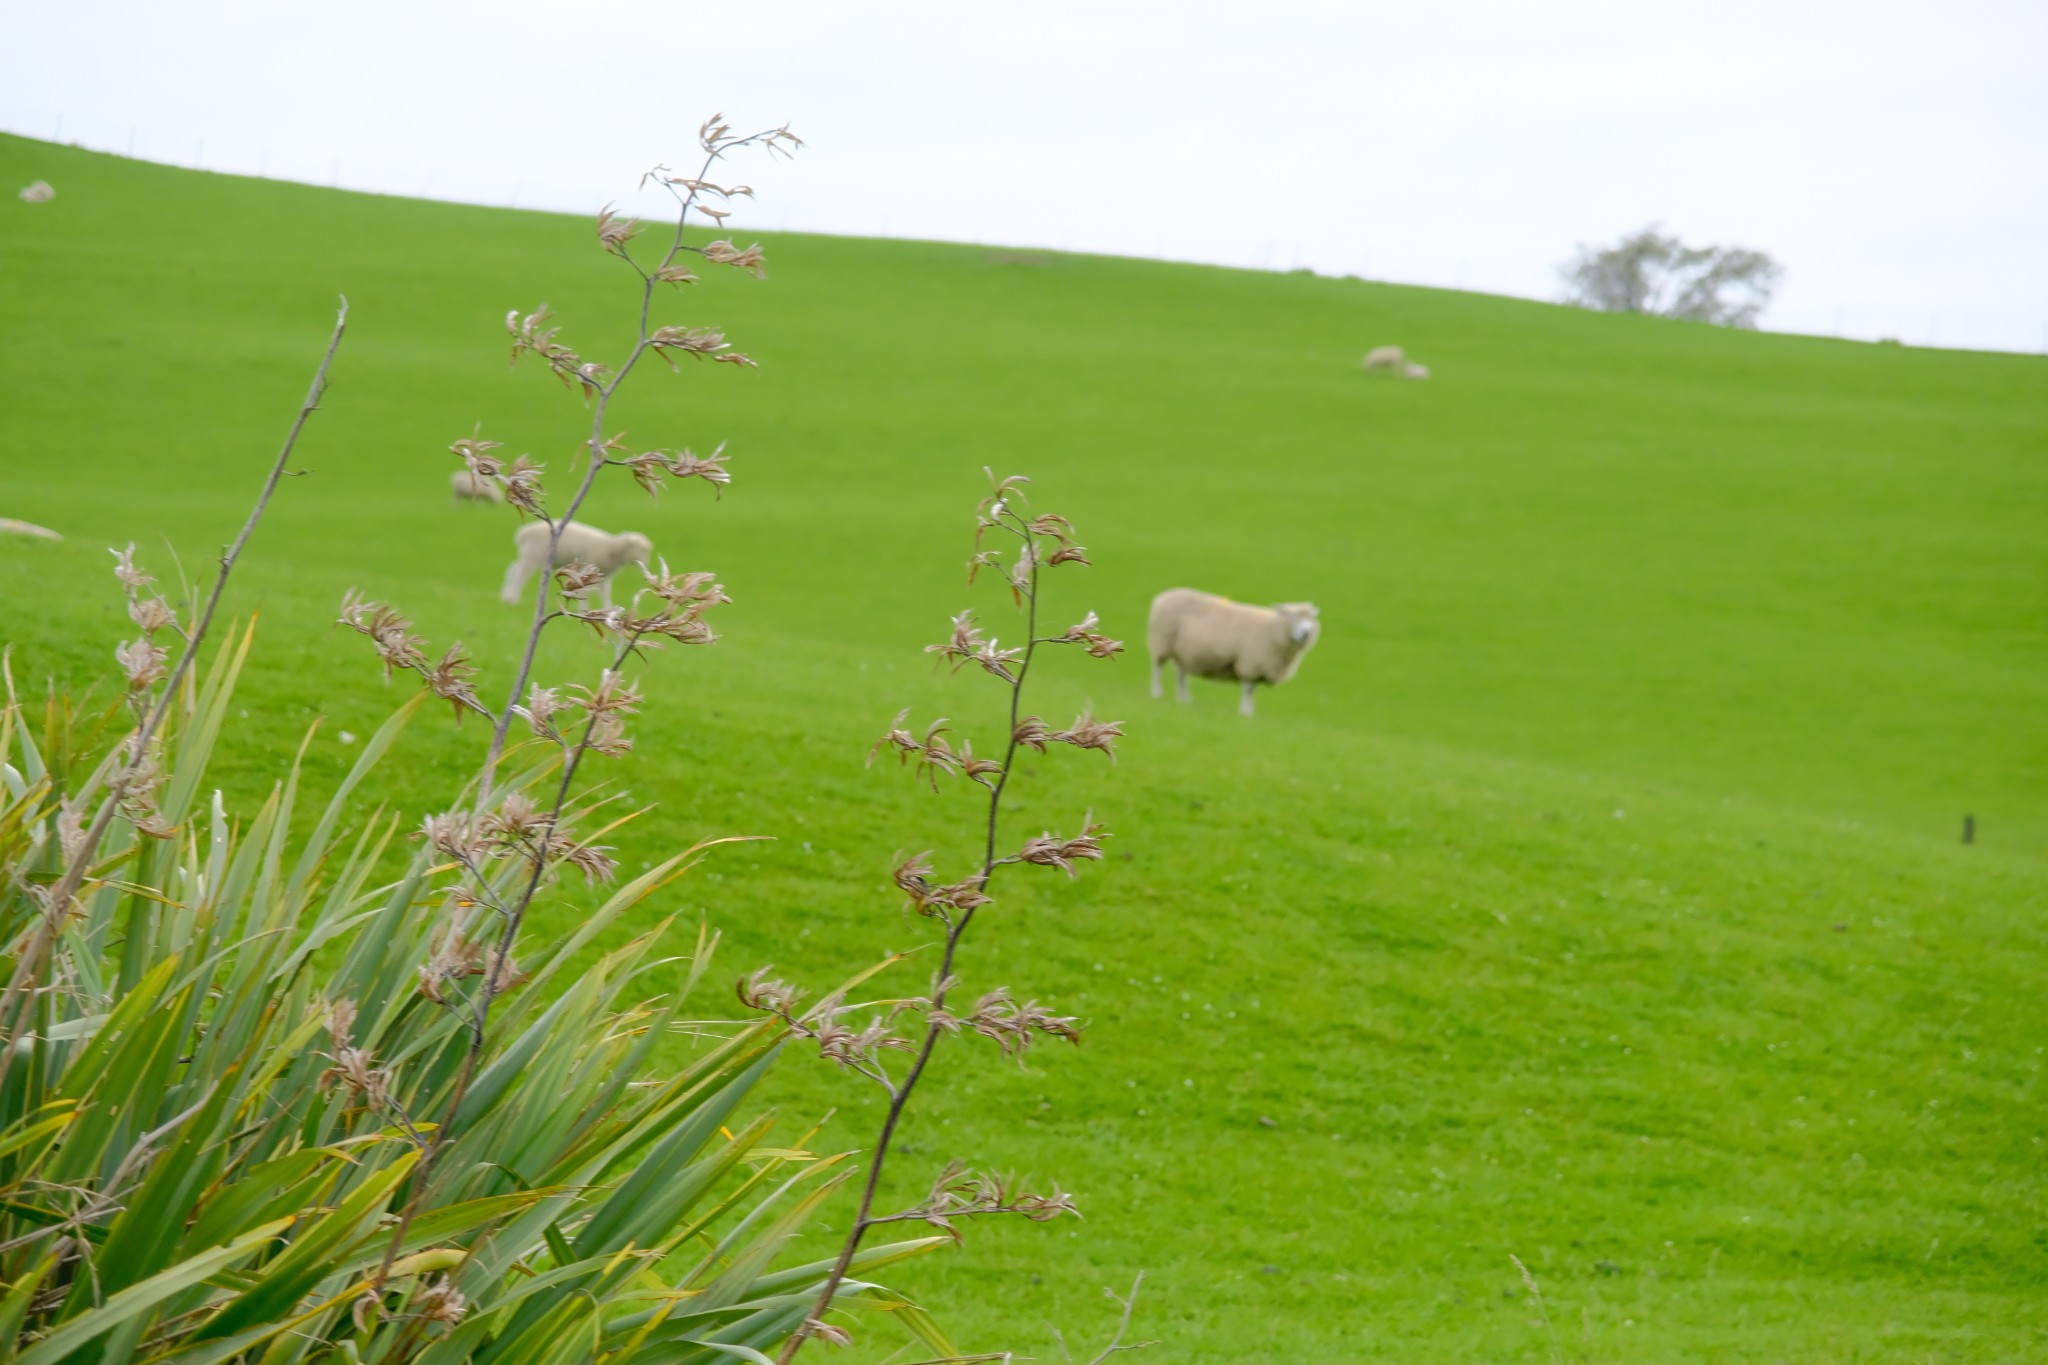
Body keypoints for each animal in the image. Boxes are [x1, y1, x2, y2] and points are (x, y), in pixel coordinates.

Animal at [499, 519, 651, 609]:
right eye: (641, 549)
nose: (645, 564)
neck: (612, 549)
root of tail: (523, 533)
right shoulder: (588, 570)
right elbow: (584, 591)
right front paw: (584, 610)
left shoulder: (603, 576)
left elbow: (605, 595)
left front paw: (608, 611)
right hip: (533, 555)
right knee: (520, 575)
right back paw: (512, 598)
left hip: (527, 554)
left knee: (513, 569)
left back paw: (506, 596)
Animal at [1146, 585, 1318, 720]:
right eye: (1291, 616)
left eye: (1311, 619)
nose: (1306, 633)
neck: (1272, 630)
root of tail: (1162, 597)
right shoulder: (1250, 664)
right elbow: (1248, 690)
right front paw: (1245, 713)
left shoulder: (1257, 667)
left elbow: (1252, 691)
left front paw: (1249, 713)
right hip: (1162, 642)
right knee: (1157, 669)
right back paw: (1157, 694)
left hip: (1182, 651)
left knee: (1180, 675)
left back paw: (1184, 700)